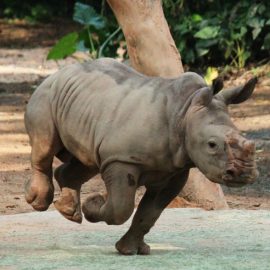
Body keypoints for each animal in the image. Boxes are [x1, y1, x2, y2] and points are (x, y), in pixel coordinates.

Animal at [24, 58, 258, 255]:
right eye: (212, 145)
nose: (243, 174)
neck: (184, 112)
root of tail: (59, 72)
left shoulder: (174, 171)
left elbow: (149, 214)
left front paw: (130, 250)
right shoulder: (121, 159)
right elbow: (121, 208)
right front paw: (94, 205)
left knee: (87, 162)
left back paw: (69, 212)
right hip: (46, 96)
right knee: (46, 147)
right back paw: (39, 202)